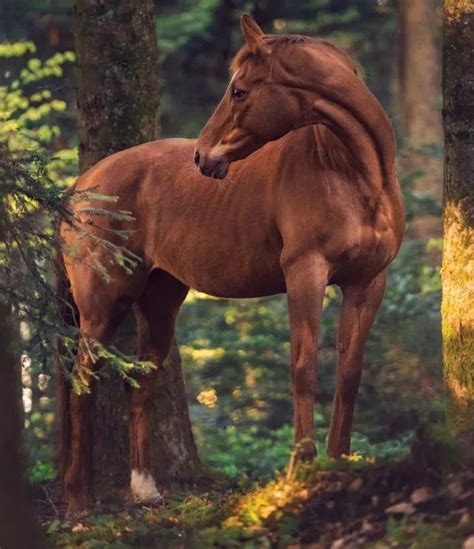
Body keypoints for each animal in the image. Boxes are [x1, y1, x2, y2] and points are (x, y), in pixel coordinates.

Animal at [61, 16, 404, 512]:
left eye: (240, 91)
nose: (203, 158)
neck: (353, 175)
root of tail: (81, 186)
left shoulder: (368, 282)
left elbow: (350, 373)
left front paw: (339, 460)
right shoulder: (305, 274)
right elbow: (303, 369)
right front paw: (302, 466)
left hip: (160, 304)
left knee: (140, 386)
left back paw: (146, 489)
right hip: (103, 305)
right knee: (82, 384)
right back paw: (78, 501)